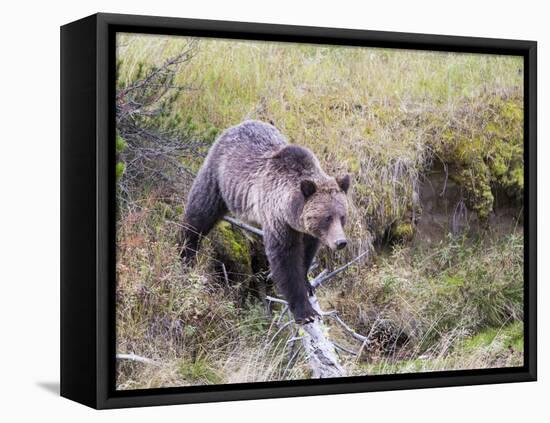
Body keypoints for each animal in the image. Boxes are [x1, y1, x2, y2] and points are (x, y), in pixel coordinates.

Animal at [183, 120, 352, 324]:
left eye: (342, 216)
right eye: (327, 217)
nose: (340, 242)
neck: (292, 212)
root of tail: (238, 125)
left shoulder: (307, 231)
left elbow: (307, 253)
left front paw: (307, 284)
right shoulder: (277, 218)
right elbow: (285, 259)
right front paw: (305, 311)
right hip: (217, 176)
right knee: (199, 214)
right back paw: (186, 252)